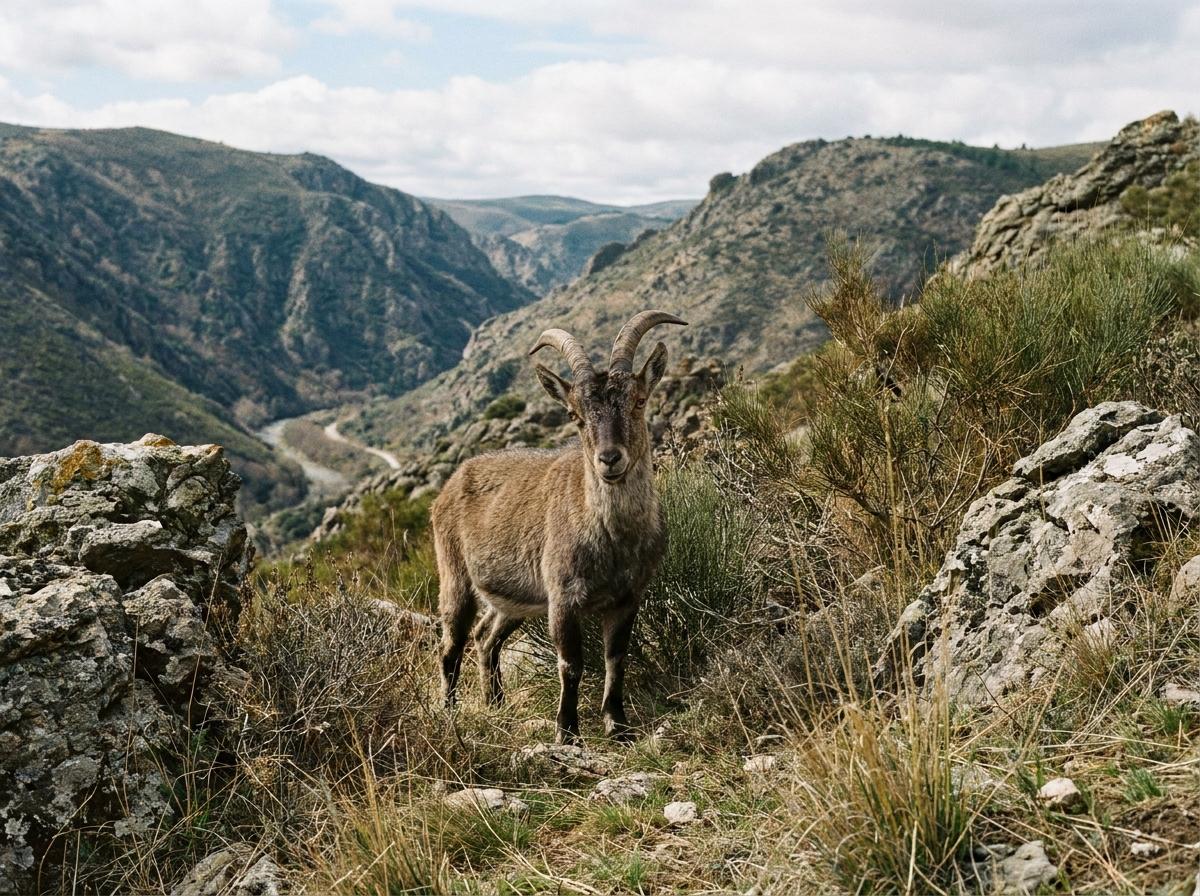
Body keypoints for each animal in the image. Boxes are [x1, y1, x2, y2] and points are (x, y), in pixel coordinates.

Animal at [431, 310, 687, 743]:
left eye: (638, 402)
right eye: (574, 415)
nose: (609, 459)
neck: (613, 538)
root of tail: (450, 485)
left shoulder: (626, 598)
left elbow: (616, 659)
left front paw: (618, 725)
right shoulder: (564, 599)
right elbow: (571, 664)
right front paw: (566, 732)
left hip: (515, 598)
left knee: (485, 637)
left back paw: (495, 703)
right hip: (455, 577)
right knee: (451, 645)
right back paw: (450, 712)